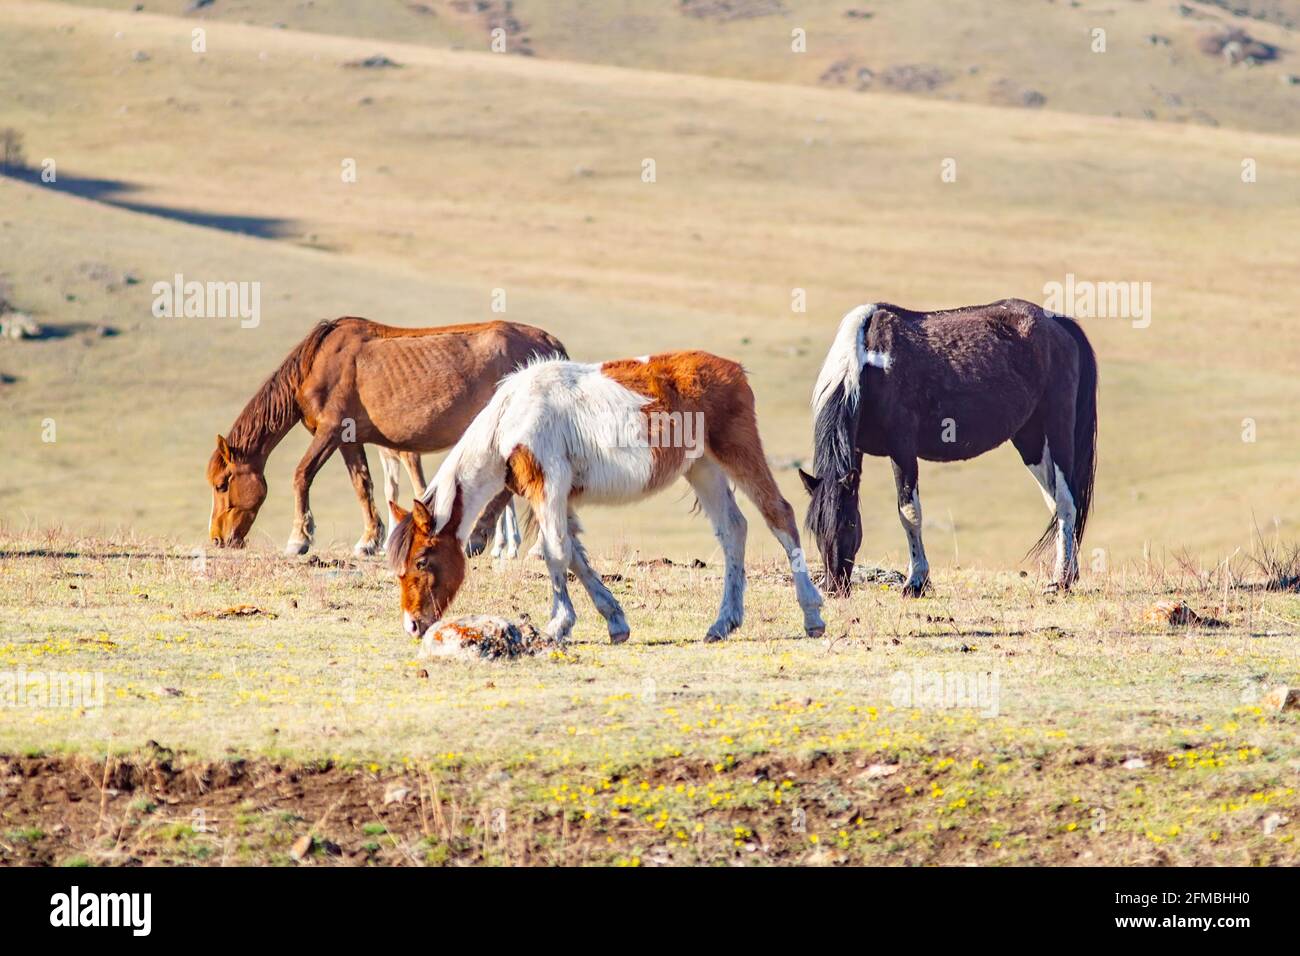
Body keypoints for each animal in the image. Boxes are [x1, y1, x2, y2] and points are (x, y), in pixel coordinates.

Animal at [206, 317, 567, 556]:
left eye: (222, 484)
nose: (218, 539)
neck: (319, 362)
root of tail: (549, 345)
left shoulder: (330, 432)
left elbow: (302, 476)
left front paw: (300, 539)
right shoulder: (350, 440)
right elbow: (363, 485)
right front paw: (369, 540)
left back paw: (486, 540)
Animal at [386, 352, 826, 644]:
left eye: (422, 561)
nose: (412, 625)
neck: (511, 419)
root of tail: (733, 369)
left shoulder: (549, 488)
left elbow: (555, 553)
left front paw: (557, 625)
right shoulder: (560, 500)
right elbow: (575, 557)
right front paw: (615, 621)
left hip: (737, 452)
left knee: (779, 516)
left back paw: (811, 615)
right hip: (702, 468)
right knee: (733, 529)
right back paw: (723, 623)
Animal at [799, 299, 1098, 596]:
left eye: (849, 523)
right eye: (815, 526)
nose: (835, 586)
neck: (868, 365)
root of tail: (1058, 323)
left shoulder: (902, 448)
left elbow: (909, 512)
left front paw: (916, 581)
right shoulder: (857, 450)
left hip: (1057, 428)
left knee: (1066, 501)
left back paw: (1061, 580)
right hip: (1031, 440)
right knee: (1055, 503)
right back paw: (1070, 573)